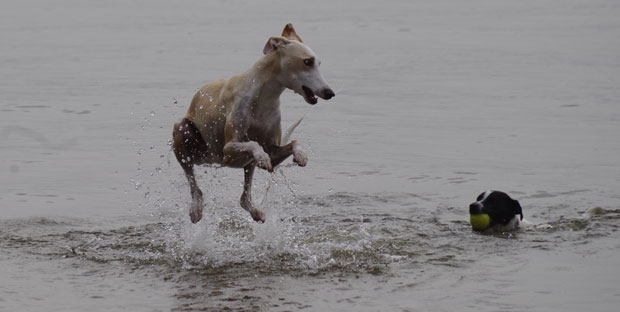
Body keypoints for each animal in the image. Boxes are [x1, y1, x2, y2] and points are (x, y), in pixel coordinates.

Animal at [172, 24, 334, 224]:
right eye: (307, 62)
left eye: (318, 63)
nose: (330, 92)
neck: (263, 96)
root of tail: (210, 160)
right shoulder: (228, 151)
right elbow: (254, 145)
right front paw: (262, 156)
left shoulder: (273, 151)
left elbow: (291, 144)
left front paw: (301, 155)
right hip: (185, 133)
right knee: (193, 181)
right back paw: (196, 209)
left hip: (238, 163)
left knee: (244, 198)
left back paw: (255, 211)